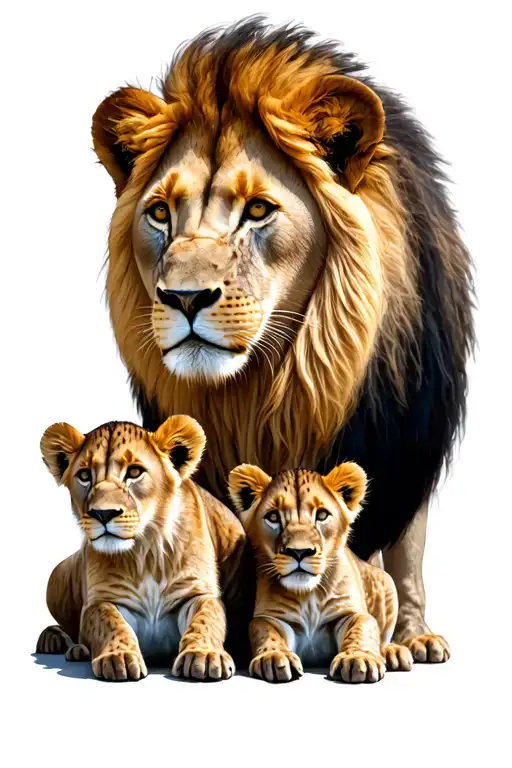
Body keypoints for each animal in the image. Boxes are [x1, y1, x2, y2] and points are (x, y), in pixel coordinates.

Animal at [36, 416, 245, 681]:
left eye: (134, 472)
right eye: (84, 475)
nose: (103, 514)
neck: (147, 552)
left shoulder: (197, 593)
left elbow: (206, 619)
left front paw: (204, 656)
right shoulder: (103, 598)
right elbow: (109, 621)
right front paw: (119, 657)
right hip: (57, 578)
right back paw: (58, 641)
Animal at [90, 17, 473, 660]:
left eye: (258, 210)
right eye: (161, 213)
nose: (184, 298)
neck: (272, 390)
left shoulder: (407, 437)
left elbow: (406, 553)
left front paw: (410, 638)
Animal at [229, 462, 417, 683]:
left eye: (321, 515)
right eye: (273, 517)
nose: (299, 552)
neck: (309, 595)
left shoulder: (351, 612)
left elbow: (361, 629)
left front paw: (358, 659)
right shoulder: (271, 616)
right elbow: (266, 632)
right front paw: (275, 657)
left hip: (387, 582)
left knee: (383, 637)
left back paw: (393, 652)